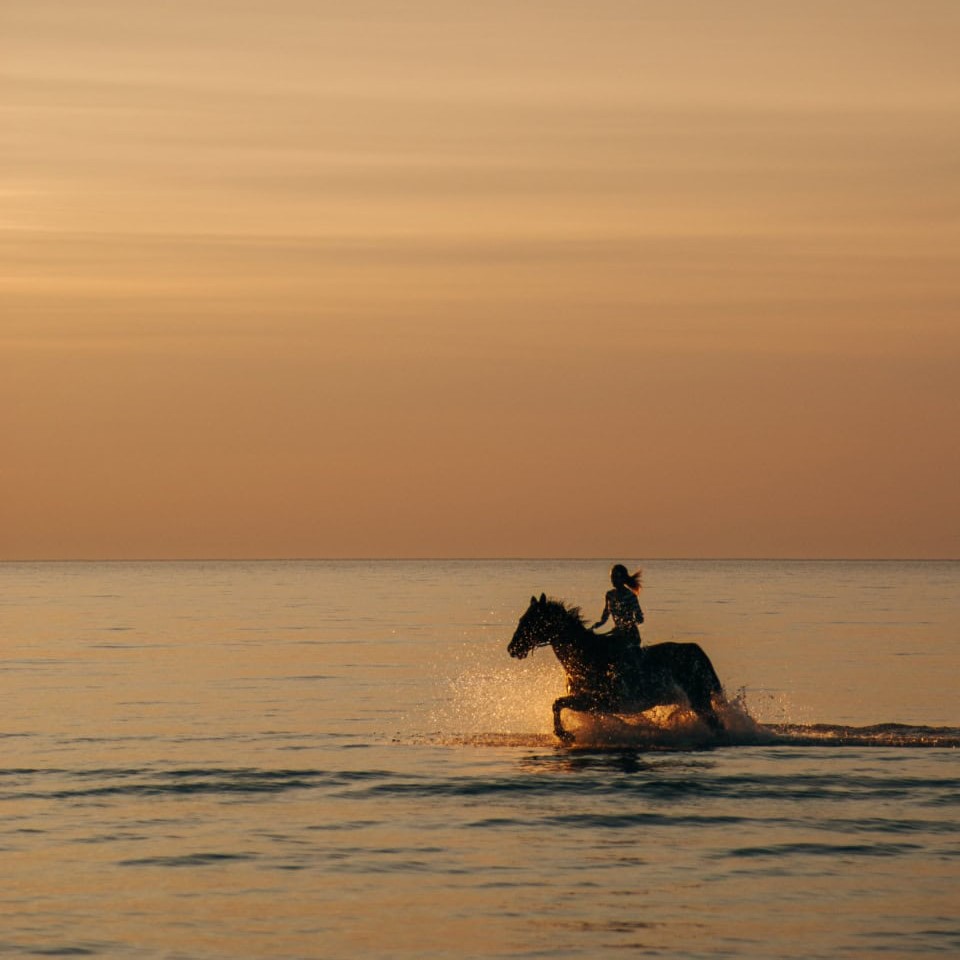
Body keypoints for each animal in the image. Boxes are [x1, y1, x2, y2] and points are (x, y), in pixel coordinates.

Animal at [508, 593, 726, 742]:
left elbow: (557, 703)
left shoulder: (597, 701)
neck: (585, 657)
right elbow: (560, 705)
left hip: (699, 699)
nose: (512, 649)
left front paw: (565, 735)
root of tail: (696, 650)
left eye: (529, 621)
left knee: (717, 725)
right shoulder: (594, 705)